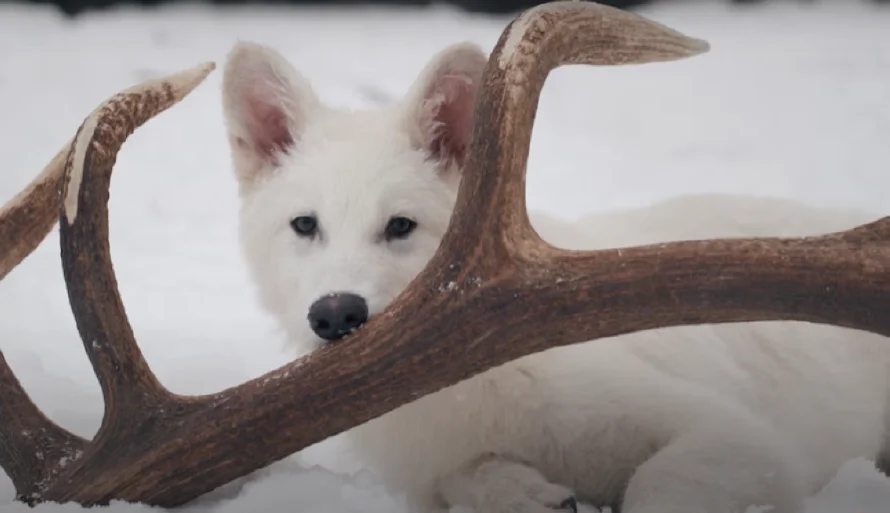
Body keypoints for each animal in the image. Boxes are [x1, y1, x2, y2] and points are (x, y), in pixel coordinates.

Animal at [220, 40, 890, 513]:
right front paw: (524, 493)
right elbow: (464, 476)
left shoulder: (745, 441)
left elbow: (657, 486)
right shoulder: (435, 469)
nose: (336, 314)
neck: (459, 387)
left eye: (401, 226)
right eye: (305, 225)